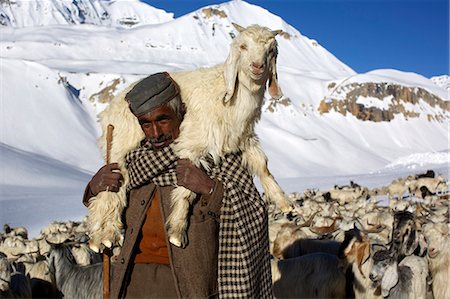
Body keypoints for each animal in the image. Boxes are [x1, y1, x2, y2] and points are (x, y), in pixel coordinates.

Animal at [87, 22, 292, 251]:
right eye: (243, 47)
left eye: (271, 51)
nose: (258, 67)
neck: (226, 96)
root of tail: (109, 109)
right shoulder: (193, 141)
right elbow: (186, 188)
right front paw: (177, 230)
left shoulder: (244, 138)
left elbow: (262, 165)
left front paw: (283, 202)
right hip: (120, 140)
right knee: (112, 186)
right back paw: (103, 235)